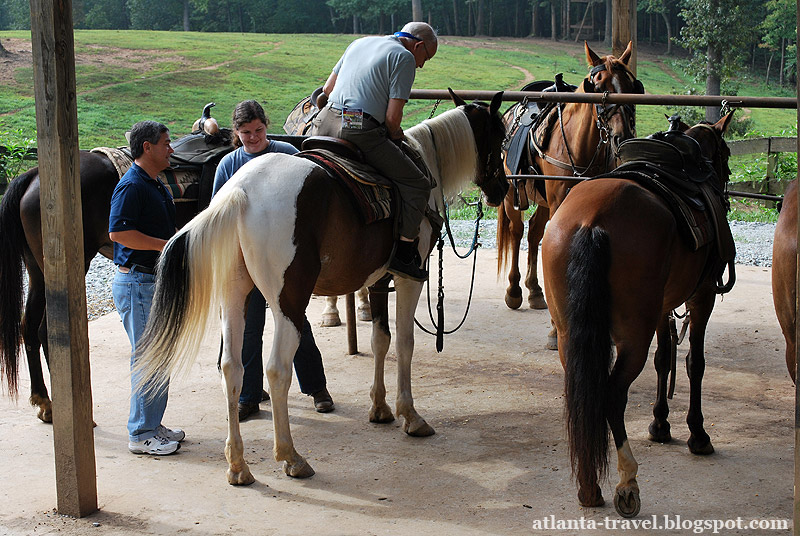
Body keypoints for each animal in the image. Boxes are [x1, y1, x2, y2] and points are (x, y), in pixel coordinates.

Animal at [496, 43, 640, 322]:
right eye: (597, 83)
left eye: (632, 86)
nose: (622, 136)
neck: (579, 144)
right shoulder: (558, 203)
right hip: (512, 194)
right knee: (517, 231)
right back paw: (514, 290)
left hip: (543, 200)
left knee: (534, 232)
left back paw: (534, 290)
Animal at [540, 112, 736, 516]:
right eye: (724, 155)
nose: (724, 185)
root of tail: (592, 222)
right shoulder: (703, 297)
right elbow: (694, 363)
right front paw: (697, 435)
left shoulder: (662, 308)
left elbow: (664, 360)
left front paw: (660, 425)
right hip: (633, 336)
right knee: (613, 394)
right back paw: (627, 482)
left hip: (571, 334)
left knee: (583, 395)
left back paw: (589, 487)